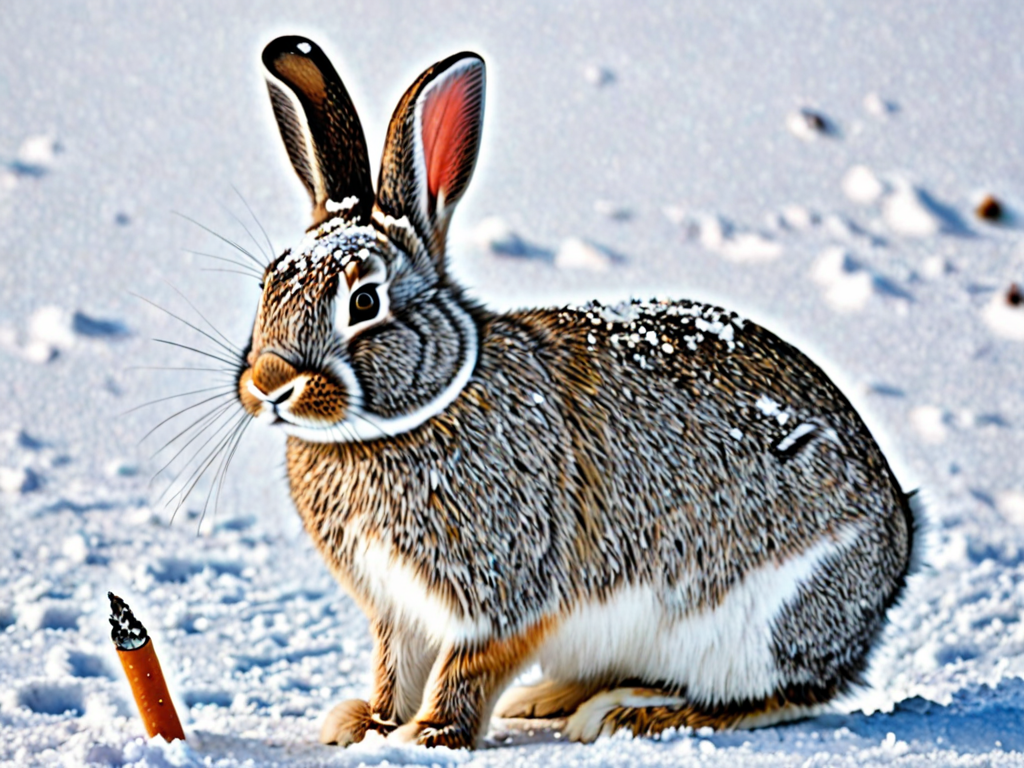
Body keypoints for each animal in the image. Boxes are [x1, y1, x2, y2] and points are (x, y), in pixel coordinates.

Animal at [236, 35, 921, 749]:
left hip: (758, 621)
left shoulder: (502, 591)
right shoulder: (399, 609)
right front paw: (367, 724)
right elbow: (396, 666)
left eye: (365, 302)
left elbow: (467, 667)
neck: (406, 419)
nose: (270, 386)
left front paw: (429, 737)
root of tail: (896, 554)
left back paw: (622, 713)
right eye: (267, 285)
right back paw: (545, 698)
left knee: (773, 696)